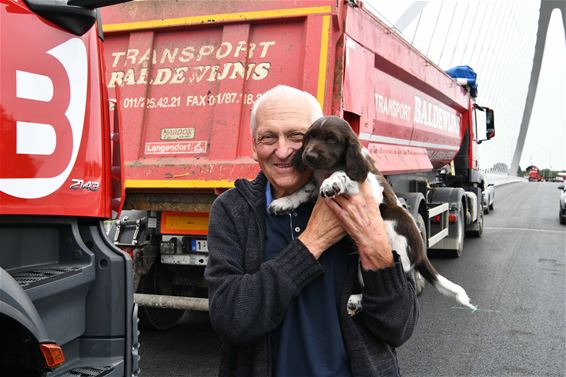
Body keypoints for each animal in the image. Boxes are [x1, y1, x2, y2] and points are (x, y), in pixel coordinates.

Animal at [270, 114, 480, 312]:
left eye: (332, 139)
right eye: (310, 137)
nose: (309, 155)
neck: (327, 168)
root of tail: (421, 253)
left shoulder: (370, 185)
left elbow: (343, 174)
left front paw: (333, 182)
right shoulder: (314, 183)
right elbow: (303, 190)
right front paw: (283, 202)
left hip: (394, 219)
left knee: (397, 270)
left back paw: (357, 298)